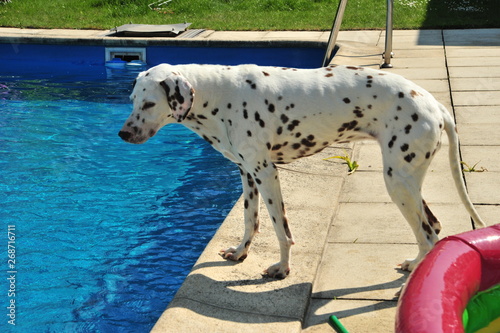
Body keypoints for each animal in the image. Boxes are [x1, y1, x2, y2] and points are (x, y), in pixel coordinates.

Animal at [117, 62, 484, 278]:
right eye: (132, 100)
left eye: (149, 103)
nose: (123, 134)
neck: (219, 94)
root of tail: (434, 103)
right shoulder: (247, 174)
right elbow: (251, 222)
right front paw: (240, 252)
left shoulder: (267, 174)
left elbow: (281, 231)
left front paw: (282, 268)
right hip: (407, 183)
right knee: (433, 227)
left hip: (398, 182)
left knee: (429, 232)